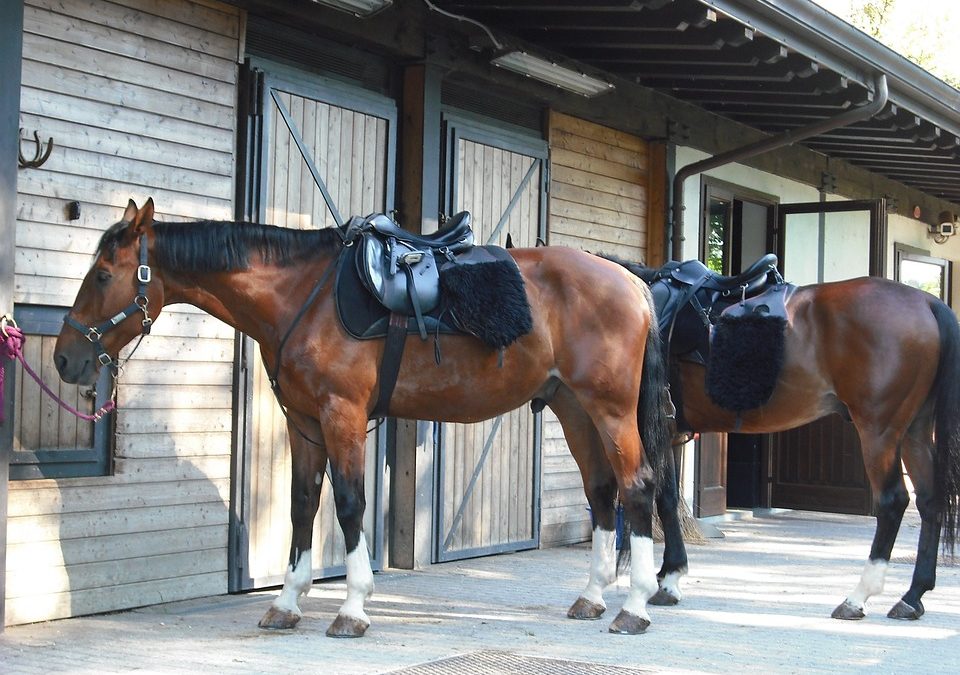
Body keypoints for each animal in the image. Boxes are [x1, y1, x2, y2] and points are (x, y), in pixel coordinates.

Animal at [54, 199, 679, 637]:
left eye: (103, 275)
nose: (65, 359)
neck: (302, 295)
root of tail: (632, 283)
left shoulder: (342, 415)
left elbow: (350, 503)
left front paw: (352, 607)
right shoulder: (303, 422)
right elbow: (303, 504)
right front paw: (286, 602)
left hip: (610, 411)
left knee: (638, 488)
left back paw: (636, 605)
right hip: (575, 409)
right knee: (602, 492)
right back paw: (594, 597)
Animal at [617, 258, 960, 622]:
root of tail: (927, 302)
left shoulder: (653, 430)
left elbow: (660, 499)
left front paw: (665, 580)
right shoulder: (669, 434)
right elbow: (668, 499)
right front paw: (670, 576)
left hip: (880, 431)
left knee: (893, 502)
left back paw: (858, 597)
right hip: (914, 431)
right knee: (930, 501)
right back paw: (912, 596)